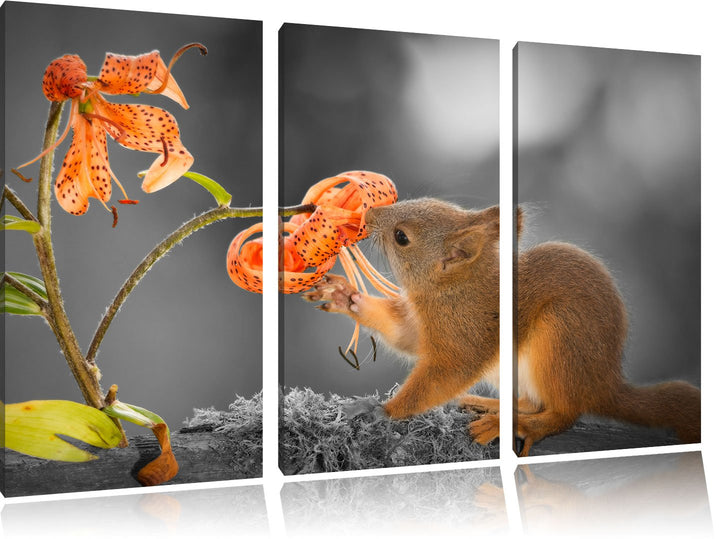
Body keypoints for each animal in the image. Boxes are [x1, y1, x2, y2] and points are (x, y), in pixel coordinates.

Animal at [303, 198, 701, 456]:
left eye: (402, 237)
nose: (368, 214)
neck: (453, 288)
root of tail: (603, 384)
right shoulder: (424, 327)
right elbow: (406, 337)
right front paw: (345, 296)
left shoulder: (466, 333)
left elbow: (445, 374)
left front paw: (380, 411)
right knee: (530, 400)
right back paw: (489, 405)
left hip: (561, 338)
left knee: (562, 413)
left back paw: (516, 424)